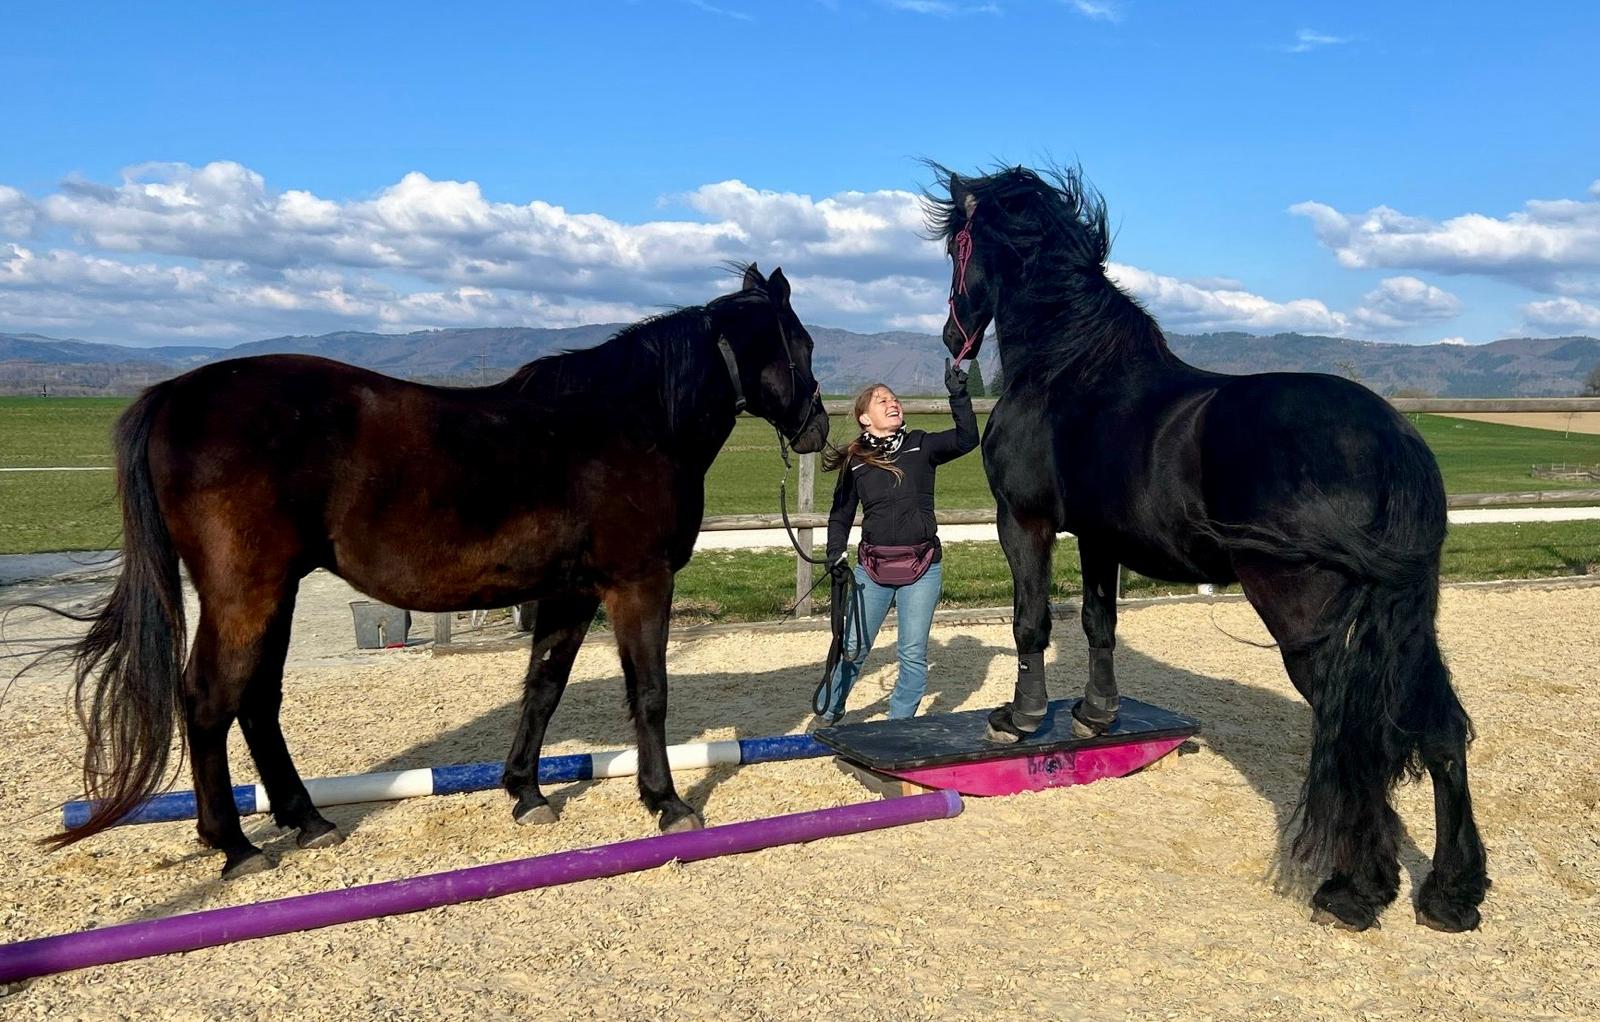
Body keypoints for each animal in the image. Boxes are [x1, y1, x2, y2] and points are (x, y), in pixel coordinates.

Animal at [51, 263, 828, 880]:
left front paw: (525, 793)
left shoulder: (571, 591)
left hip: (277, 592)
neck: (630, 422)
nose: (820, 429)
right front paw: (666, 803)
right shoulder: (637, 581)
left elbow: (543, 687)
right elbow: (650, 694)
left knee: (258, 702)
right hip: (245, 591)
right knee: (210, 700)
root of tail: (175, 396)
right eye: (804, 344)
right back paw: (236, 846)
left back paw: (307, 821)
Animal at [929, 165, 1488, 933]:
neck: (1069, 370)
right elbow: (1099, 624)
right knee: (1438, 729)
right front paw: (1095, 713)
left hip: (1305, 622)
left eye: (956, 246)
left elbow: (1031, 623)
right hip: (1405, 620)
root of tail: (1390, 436)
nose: (950, 333)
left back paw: (1352, 890)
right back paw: (1451, 893)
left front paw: (1020, 719)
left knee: (1357, 736)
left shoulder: (1024, 522)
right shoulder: (1099, 537)